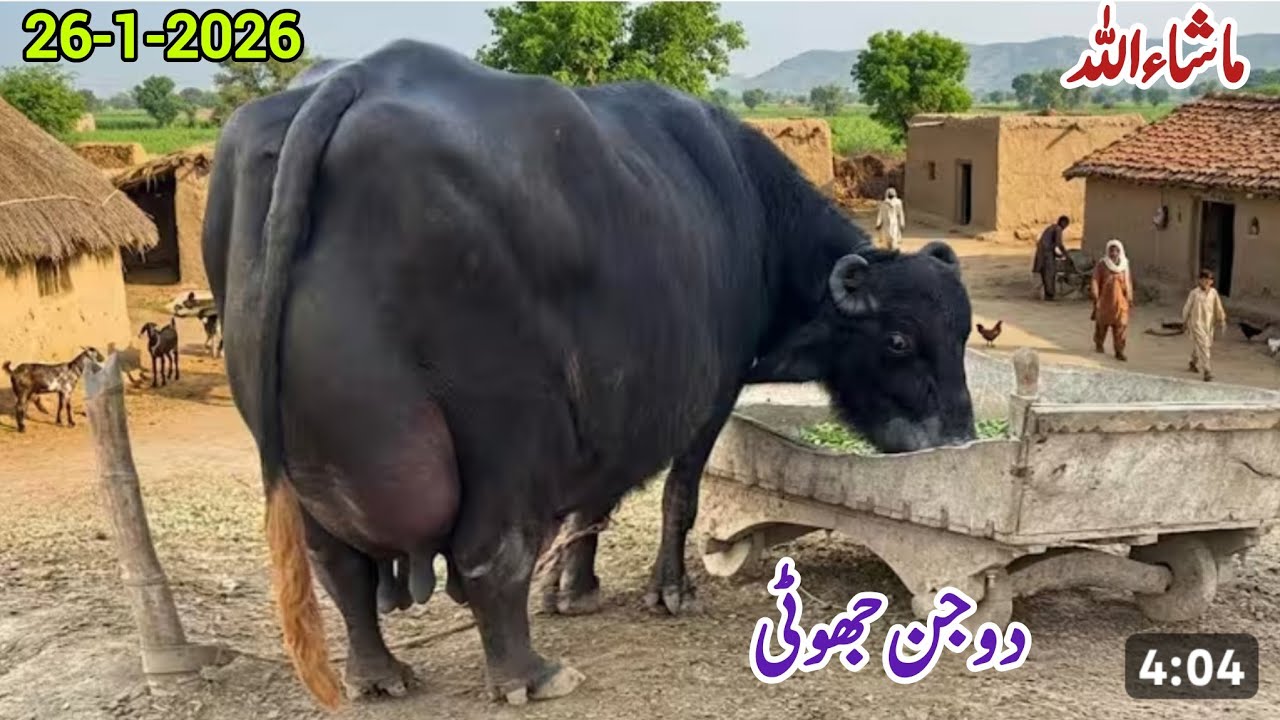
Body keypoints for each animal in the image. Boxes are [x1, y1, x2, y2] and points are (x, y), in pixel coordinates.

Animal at [203, 39, 975, 709]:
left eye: (963, 333)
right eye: (901, 340)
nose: (963, 439)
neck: (751, 215)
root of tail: (355, 79)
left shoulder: (613, 405)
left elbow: (592, 505)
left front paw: (573, 588)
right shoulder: (708, 396)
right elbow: (675, 498)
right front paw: (670, 590)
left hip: (302, 450)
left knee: (340, 566)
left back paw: (377, 672)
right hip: (502, 428)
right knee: (488, 554)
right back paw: (529, 674)